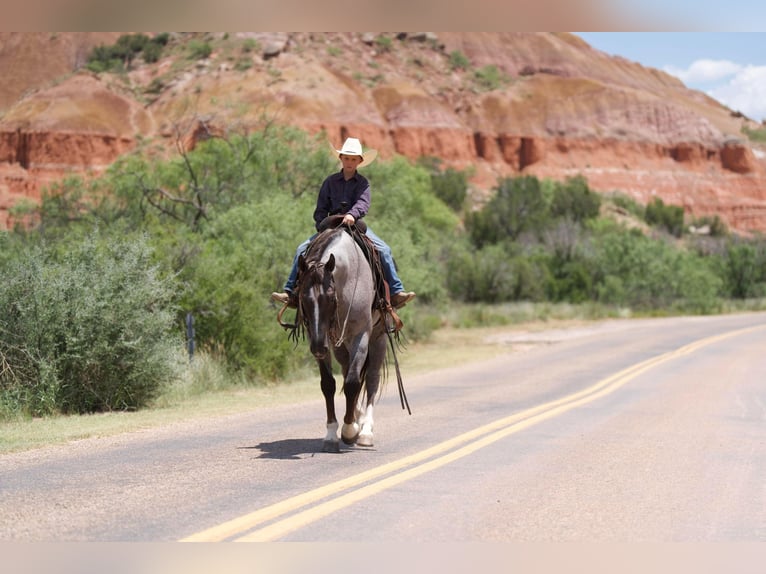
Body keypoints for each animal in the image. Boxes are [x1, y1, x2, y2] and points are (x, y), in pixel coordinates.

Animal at [294, 225, 389, 452]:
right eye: (303, 298)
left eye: (330, 298)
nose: (318, 348)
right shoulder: (320, 337)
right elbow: (329, 384)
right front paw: (331, 435)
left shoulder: (361, 335)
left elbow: (353, 383)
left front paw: (349, 431)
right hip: (340, 347)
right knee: (348, 371)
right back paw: (356, 418)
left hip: (378, 339)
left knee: (371, 379)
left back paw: (365, 431)